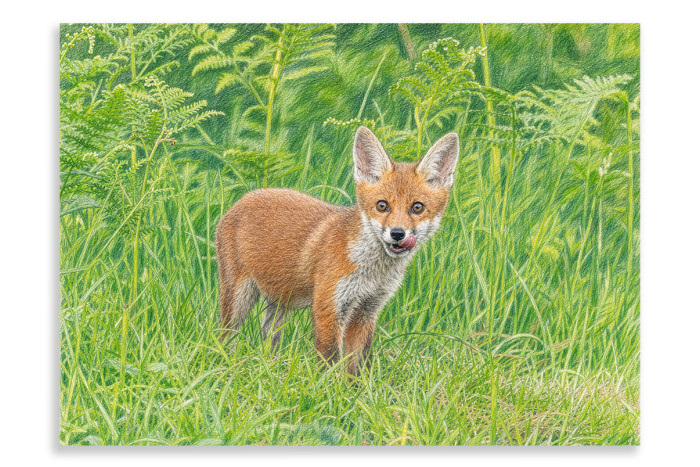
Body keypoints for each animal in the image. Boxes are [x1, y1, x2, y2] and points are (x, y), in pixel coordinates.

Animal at [215, 126, 459, 375]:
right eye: (382, 205)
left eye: (417, 207)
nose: (398, 233)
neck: (371, 272)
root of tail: (245, 198)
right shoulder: (328, 307)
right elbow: (330, 363)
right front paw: (327, 385)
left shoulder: (366, 311)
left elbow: (357, 365)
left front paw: (358, 386)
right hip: (238, 299)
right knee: (223, 336)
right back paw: (226, 366)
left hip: (279, 299)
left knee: (268, 334)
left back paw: (272, 369)